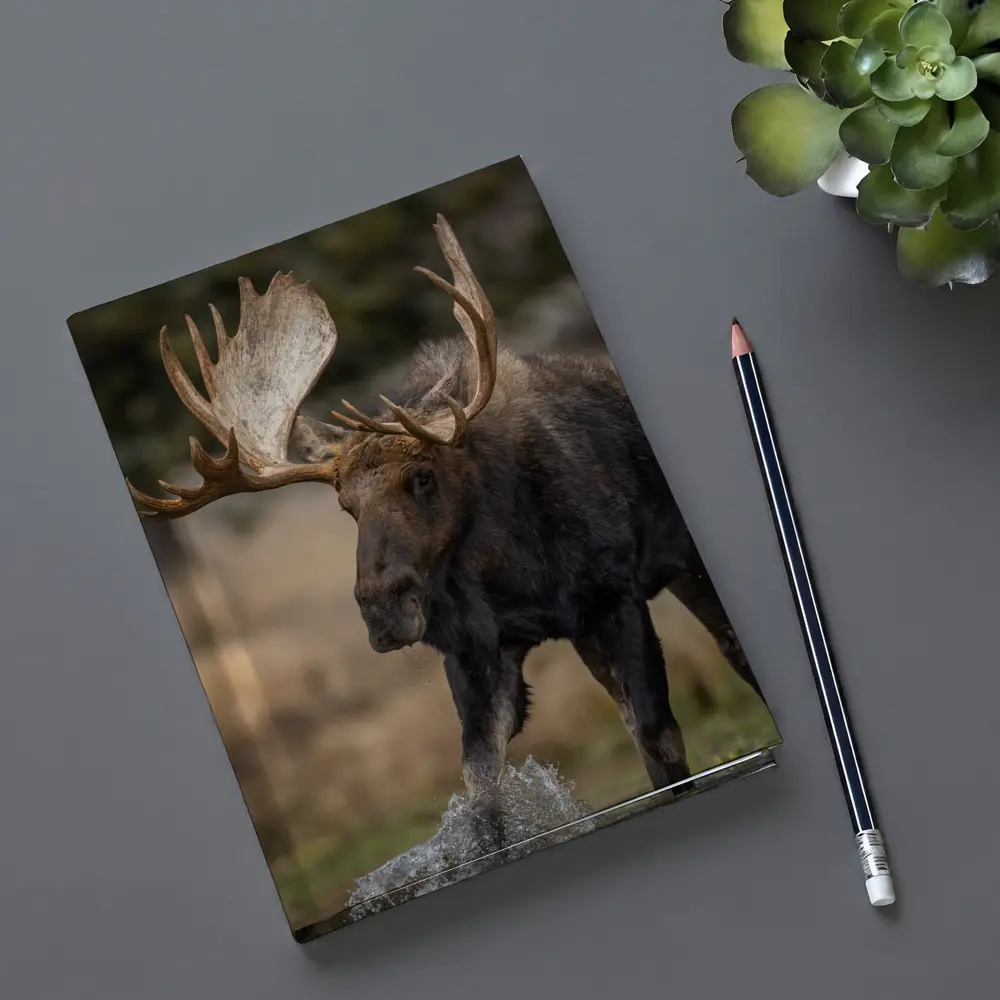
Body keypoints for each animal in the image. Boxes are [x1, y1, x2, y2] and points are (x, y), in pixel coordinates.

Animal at [129, 215, 764, 850]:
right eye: (345, 506)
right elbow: (480, 783)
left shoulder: (614, 598)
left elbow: (658, 738)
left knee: (729, 651)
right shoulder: (477, 648)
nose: (382, 611)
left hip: (679, 563)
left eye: (423, 476)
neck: (520, 571)